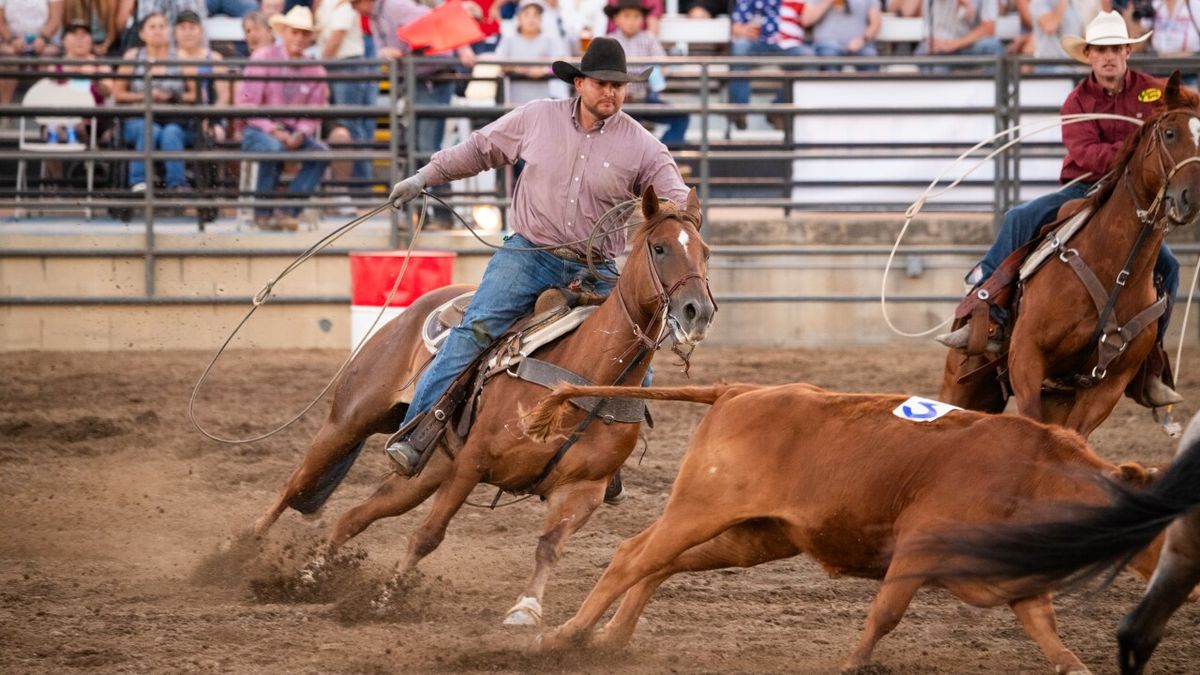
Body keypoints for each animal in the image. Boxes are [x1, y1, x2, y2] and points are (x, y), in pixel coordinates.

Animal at [248, 184, 705, 624]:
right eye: (660, 247)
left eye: (704, 250)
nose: (697, 311)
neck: (583, 373)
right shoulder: (474, 462)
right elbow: (428, 535)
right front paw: (385, 599)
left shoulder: (584, 490)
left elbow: (548, 546)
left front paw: (526, 608)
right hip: (351, 419)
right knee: (297, 482)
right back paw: (245, 550)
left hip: (427, 471)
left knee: (353, 516)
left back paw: (308, 577)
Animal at [940, 70, 1195, 432]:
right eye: (1170, 133)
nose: (1191, 197)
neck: (1113, 268)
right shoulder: (1026, 356)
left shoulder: (1107, 385)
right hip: (963, 380)